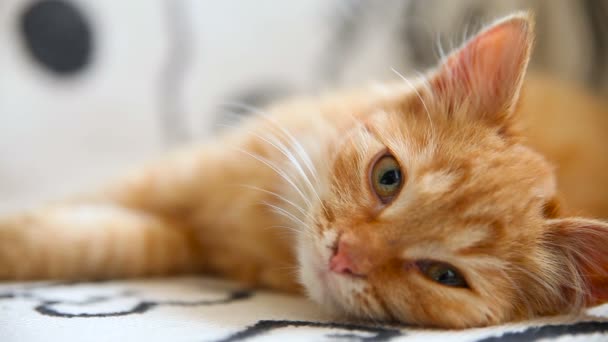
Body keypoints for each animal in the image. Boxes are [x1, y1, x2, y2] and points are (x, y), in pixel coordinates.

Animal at [1, 12, 608, 328]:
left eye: (443, 275)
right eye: (388, 177)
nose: (344, 254)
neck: (263, 229)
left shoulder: (174, 242)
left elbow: (93, 242)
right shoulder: (177, 175)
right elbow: (70, 217)